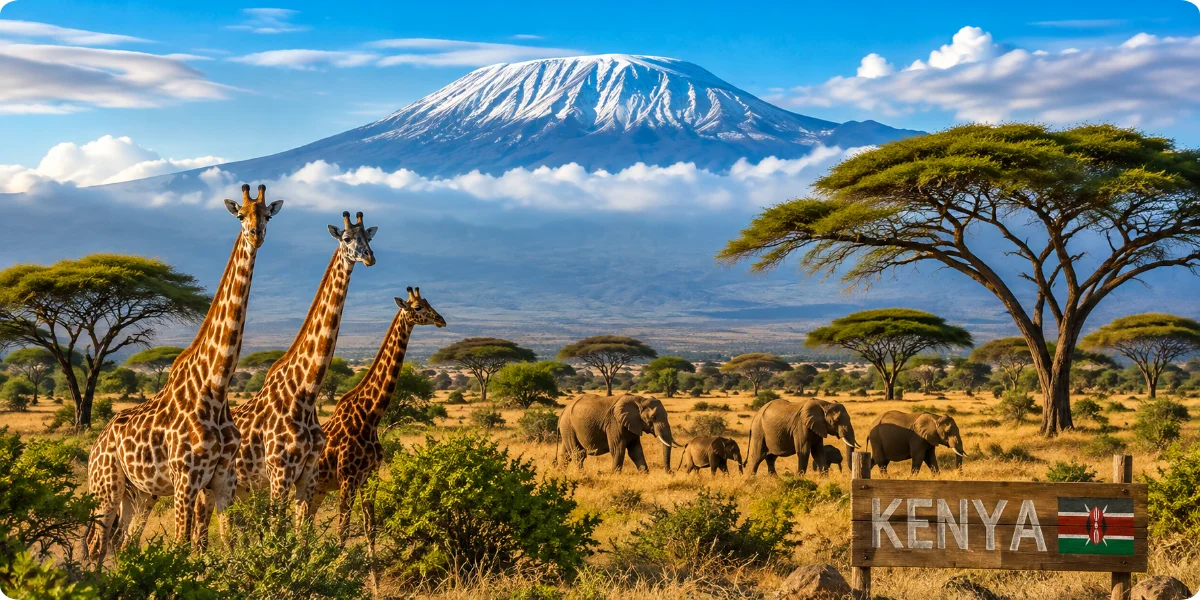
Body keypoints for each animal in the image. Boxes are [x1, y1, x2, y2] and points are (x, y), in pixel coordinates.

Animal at [85, 185, 283, 562]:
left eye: (267, 215)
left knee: (123, 541)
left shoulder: (223, 479)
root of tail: (96, 443)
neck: (215, 387)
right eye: (240, 215)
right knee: (96, 544)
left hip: (139, 493)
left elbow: (225, 543)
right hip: (106, 487)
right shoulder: (185, 479)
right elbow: (180, 547)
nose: (256, 235)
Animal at [221, 211, 377, 529]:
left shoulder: (308, 475)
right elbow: (277, 533)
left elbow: (301, 535)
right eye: (346, 238)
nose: (369, 258)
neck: (306, 391)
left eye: (369, 236)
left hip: (240, 488)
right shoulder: (279, 475)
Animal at [310, 287, 445, 586]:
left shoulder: (370, 477)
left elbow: (370, 528)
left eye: (429, 302)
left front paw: (375, 586)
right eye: (417, 307)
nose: (441, 320)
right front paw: (339, 580)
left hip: (317, 490)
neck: (370, 416)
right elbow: (342, 531)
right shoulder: (348, 479)